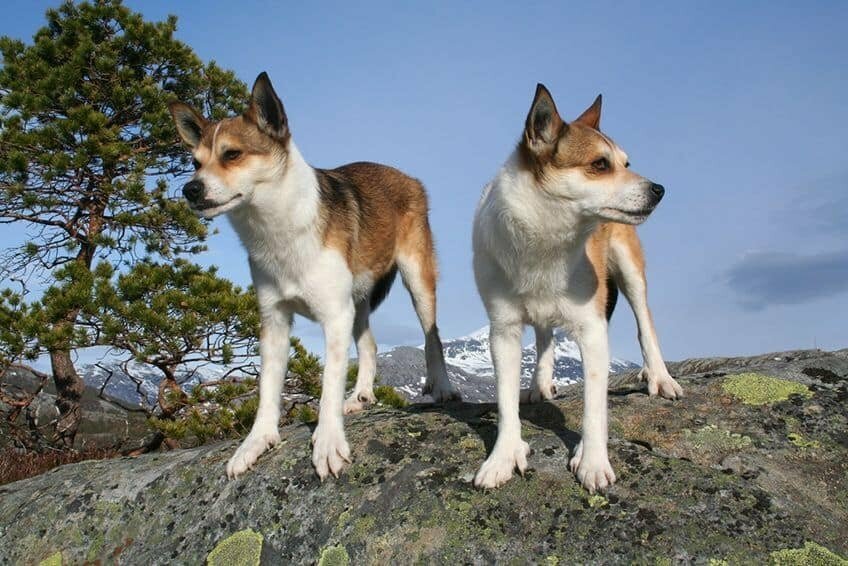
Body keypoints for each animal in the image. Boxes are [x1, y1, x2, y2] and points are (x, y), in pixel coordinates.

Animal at [170, 73, 460, 482]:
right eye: (195, 162)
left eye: (232, 154)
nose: (190, 189)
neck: (278, 227)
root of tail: (405, 176)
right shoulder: (274, 322)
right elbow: (267, 390)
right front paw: (256, 442)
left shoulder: (334, 318)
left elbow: (328, 385)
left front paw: (327, 442)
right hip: (358, 300)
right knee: (370, 346)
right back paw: (360, 397)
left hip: (417, 280)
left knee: (432, 339)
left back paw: (443, 388)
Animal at [470, 83, 684, 492]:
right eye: (600, 165)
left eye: (626, 164)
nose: (659, 190)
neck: (546, 240)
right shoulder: (502, 331)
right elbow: (505, 403)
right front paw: (502, 457)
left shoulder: (592, 330)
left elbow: (593, 406)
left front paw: (594, 461)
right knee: (544, 336)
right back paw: (540, 383)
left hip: (629, 269)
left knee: (645, 324)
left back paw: (660, 377)